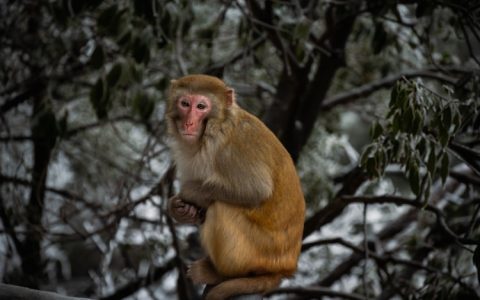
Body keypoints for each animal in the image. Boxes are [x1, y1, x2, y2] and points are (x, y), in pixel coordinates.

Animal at [167, 74, 306, 298]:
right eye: (185, 104)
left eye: (201, 106)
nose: (188, 123)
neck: (214, 128)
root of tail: (284, 268)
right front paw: (180, 209)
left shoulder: (232, 149)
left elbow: (256, 190)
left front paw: (189, 193)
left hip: (258, 252)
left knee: (220, 208)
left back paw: (219, 274)